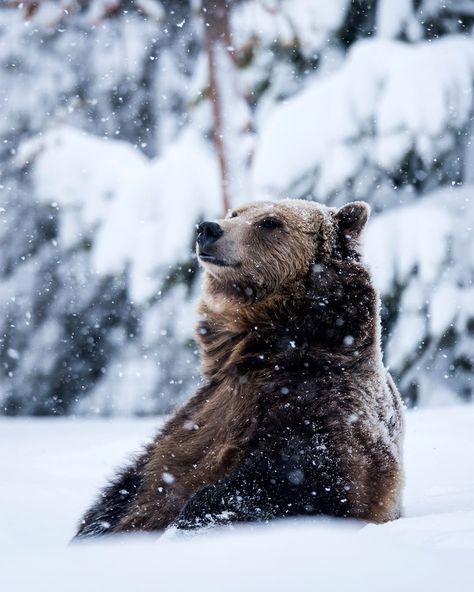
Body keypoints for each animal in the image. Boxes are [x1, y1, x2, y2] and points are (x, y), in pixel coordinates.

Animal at [74, 200, 404, 540]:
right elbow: (136, 483)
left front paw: (192, 517)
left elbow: (304, 478)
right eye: (236, 213)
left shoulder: (323, 404)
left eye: (270, 222)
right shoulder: (206, 407)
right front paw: (96, 527)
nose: (208, 228)